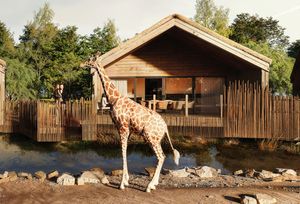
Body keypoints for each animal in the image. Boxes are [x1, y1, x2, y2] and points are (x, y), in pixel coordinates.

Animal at [82, 53, 179, 192]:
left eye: (90, 59)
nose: (81, 64)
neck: (114, 98)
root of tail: (165, 127)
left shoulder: (122, 127)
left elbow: (122, 152)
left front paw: (122, 184)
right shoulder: (126, 130)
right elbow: (125, 151)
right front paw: (126, 181)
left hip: (151, 137)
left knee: (160, 156)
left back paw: (149, 187)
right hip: (157, 139)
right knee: (163, 156)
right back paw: (154, 184)